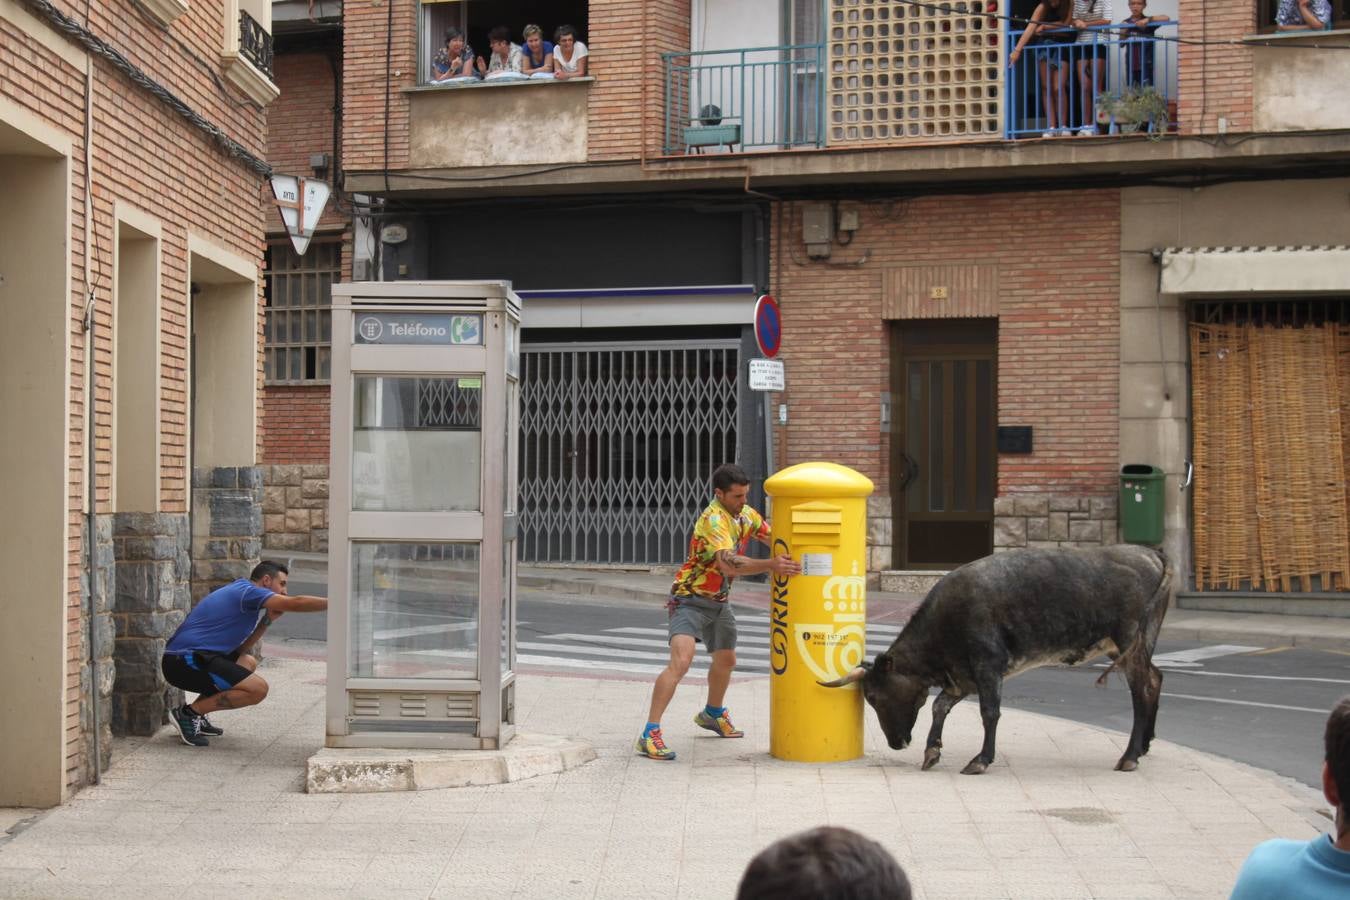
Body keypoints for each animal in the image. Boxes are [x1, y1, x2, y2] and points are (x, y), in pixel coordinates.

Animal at [815, 545, 1177, 777]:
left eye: (874, 697)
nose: (896, 743)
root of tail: (1150, 553)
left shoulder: (987, 667)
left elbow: (989, 713)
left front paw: (980, 759)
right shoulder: (961, 677)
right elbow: (939, 707)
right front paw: (932, 751)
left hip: (1130, 640)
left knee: (1143, 687)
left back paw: (1129, 756)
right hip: (1130, 645)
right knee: (1155, 678)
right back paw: (1144, 745)